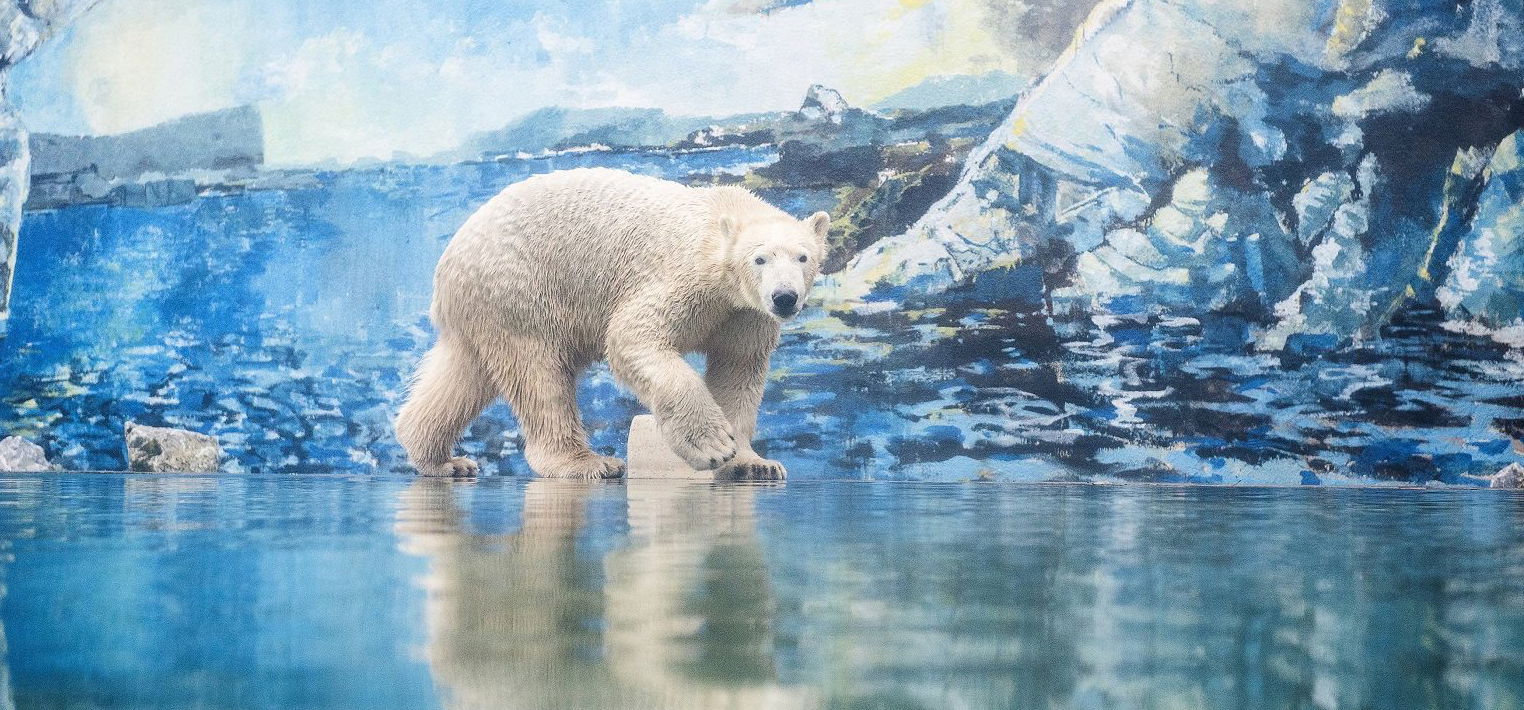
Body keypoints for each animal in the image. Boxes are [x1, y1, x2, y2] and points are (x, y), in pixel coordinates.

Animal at [390, 166, 822, 478]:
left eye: (802, 257)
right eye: (759, 258)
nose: (784, 297)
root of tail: (449, 259)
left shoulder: (745, 314)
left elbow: (738, 369)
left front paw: (754, 462)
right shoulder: (684, 279)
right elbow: (634, 338)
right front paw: (713, 446)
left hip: (486, 308)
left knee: (465, 373)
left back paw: (441, 459)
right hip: (521, 288)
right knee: (540, 376)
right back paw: (588, 463)